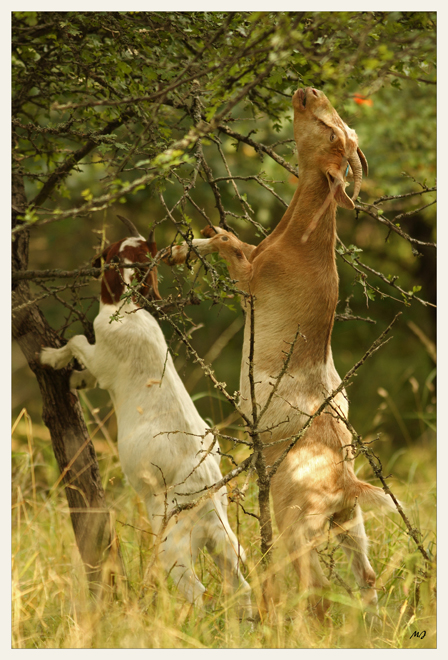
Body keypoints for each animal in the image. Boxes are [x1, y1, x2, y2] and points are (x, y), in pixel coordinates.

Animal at [40, 217, 252, 620]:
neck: (129, 309)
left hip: (173, 547)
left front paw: (51, 358)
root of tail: (209, 501)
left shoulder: (101, 354)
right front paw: (75, 379)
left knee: (199, 593)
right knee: (240, 587)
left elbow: (76, 342)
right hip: (224, 547)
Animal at [160, 87, 396, 620]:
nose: (308, 92)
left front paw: (179, 251)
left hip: (297, 525)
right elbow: (228, 236)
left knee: (315, 590)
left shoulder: (251, 278)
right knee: (367, 577)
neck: (303, 240)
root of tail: (345, 484)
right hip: (350, 524)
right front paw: (178, 250)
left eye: (331, 132)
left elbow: (227, 242)